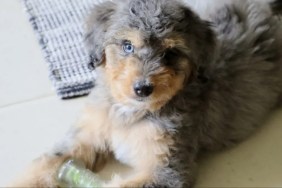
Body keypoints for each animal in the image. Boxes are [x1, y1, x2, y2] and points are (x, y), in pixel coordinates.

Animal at [9, 0, 282, 187]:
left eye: (170, 54)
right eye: (127, 46)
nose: (143, 88)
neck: (129, 112)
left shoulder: (167, 168)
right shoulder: (86, 135)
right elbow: (46, 162)